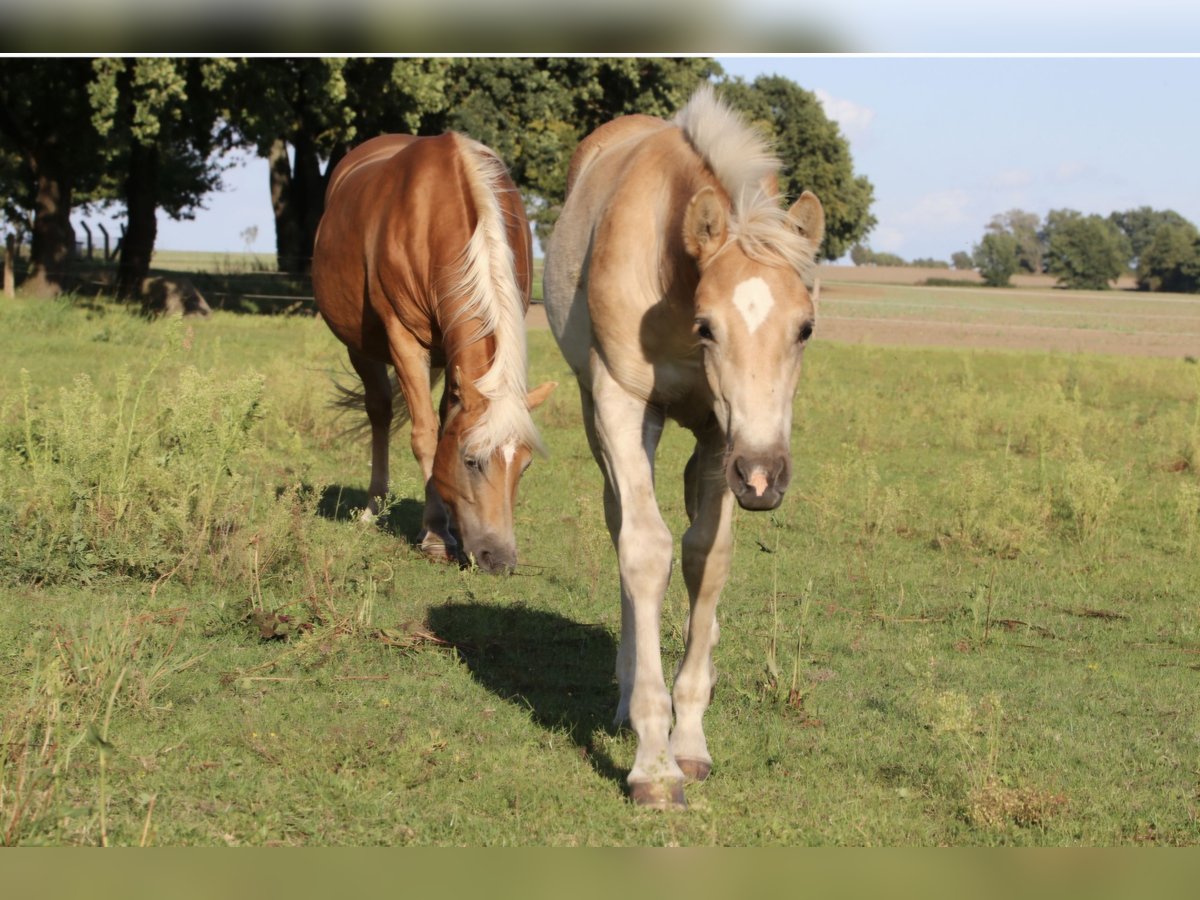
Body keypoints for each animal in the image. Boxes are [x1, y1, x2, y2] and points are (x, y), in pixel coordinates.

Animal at [313, 132, 556, 574]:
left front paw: (452, 526)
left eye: (525, 465)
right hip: (361, 347)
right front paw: (436, 537)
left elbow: (444, 427)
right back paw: (374, 508)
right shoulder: (405, 339)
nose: (500, 560)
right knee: (379, 411)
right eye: (472, 461)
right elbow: (425, 435)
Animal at [543, 86, 825, 808]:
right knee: (621, 522)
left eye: (805, 328)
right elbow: (645, 549)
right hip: (604, 418)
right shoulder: (622, 403)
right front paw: (652, 761)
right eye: (708, 325)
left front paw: (689, 738)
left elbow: (707, 556)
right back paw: (624, 701)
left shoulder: (726, 433)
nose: (764, 477)